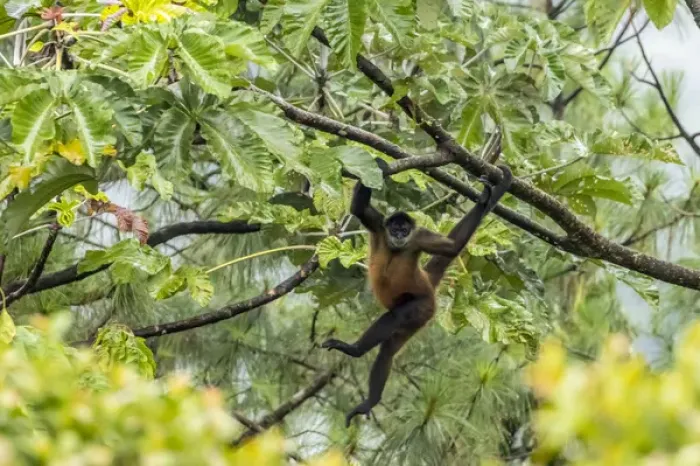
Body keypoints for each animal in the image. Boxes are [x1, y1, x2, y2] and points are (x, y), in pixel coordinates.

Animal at [321, 164, 513, 427]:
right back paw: (370, 398)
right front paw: (379, 164)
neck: (396, 247)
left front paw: (485, 198)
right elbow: (358, 209)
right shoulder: (380, 226)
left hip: (423, 306)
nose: (400, 234)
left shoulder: (418, 238)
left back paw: (355, 351)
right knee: (389, 349)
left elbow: (452, 247)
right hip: (417, 321)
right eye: (395, 228)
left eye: (404, 229)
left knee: (395, 317)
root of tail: (428, 284)